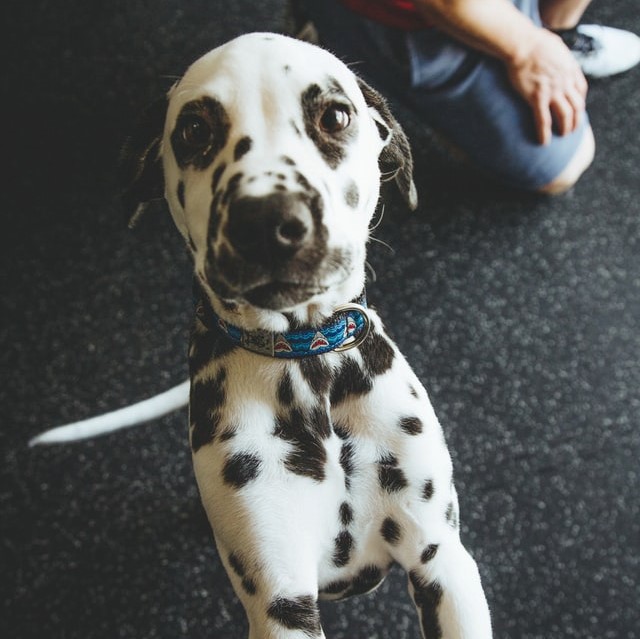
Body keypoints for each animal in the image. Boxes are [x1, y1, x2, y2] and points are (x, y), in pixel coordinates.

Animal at [124, 33, 490, 639]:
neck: (310, 366)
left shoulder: (442, 559)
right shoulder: (282, 602)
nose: (267, 222)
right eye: (194, 130)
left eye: (335, 115)